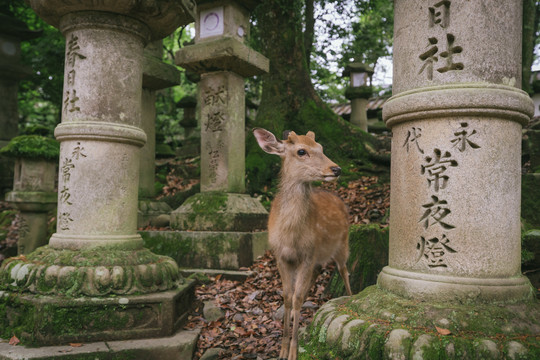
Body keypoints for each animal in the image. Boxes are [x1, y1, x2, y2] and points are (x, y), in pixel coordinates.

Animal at [252, 127, 352, 360]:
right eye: (301, 151)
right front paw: (282, 350)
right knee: (318, 272)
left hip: (343, 244)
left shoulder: (308, 254)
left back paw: (351, 297)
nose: (336, 169)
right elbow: (288, 298)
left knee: (344, 270)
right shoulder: (281, 256)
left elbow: (296, 299)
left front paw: (293, 352)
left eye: (321, 148)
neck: (291, 236)